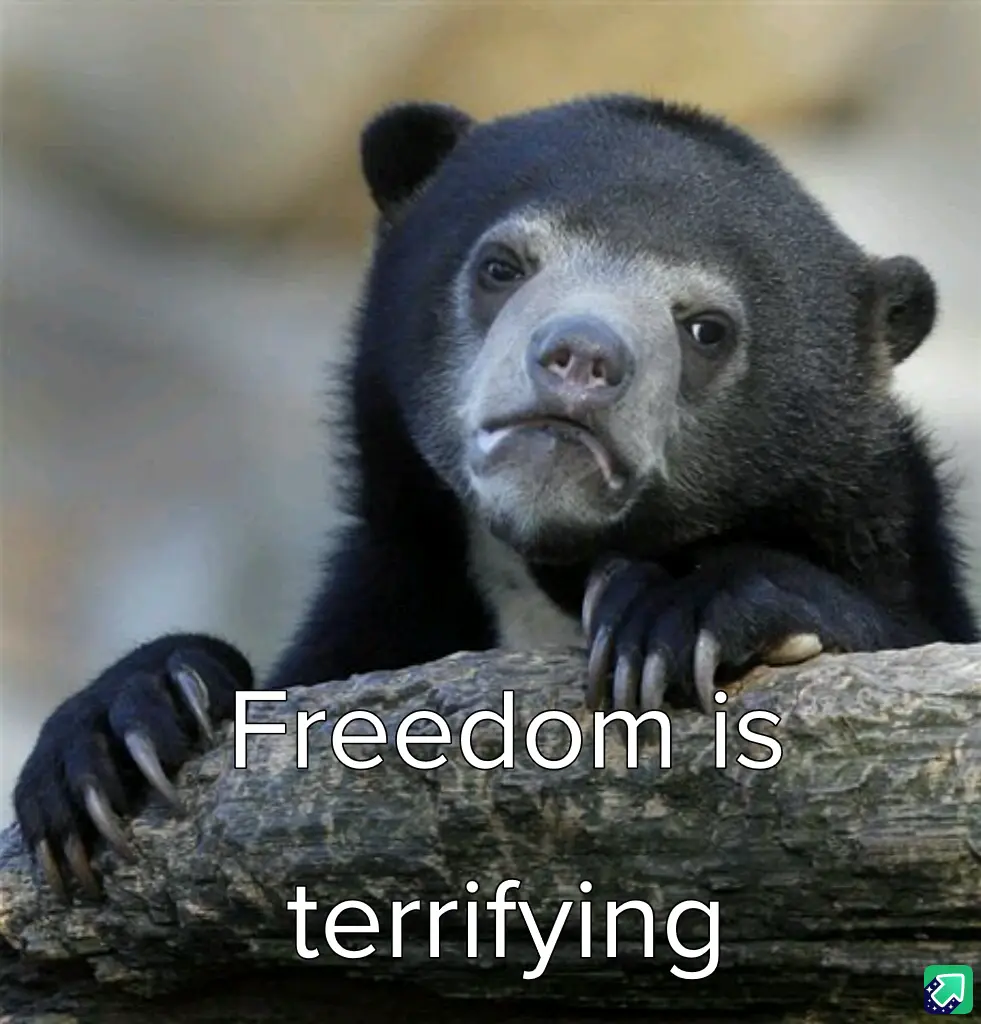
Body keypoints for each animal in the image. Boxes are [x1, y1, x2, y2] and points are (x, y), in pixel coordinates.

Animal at [12, 94, 979, 900]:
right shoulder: (395, 591)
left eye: (706, 329)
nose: (581, 359)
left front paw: (673, 612)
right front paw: (116, 734)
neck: (545, 571)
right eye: (501, 266)